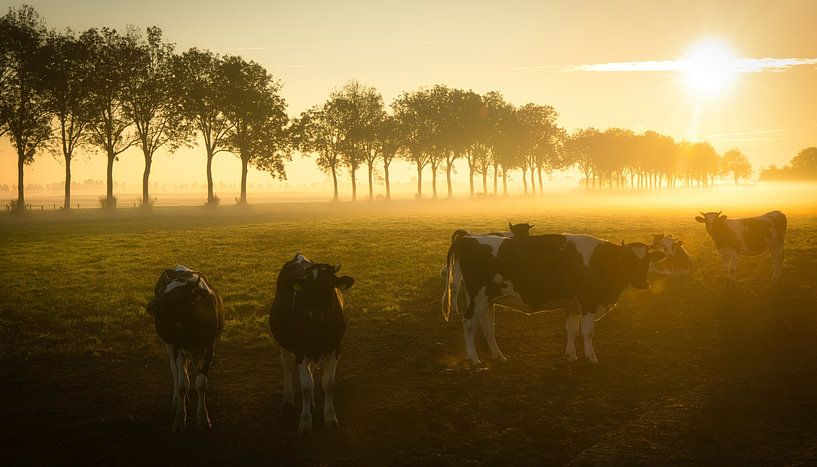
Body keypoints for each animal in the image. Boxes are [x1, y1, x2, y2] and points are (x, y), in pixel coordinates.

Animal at [146, 265, 225, 432]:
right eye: (163, 290)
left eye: (179, 294)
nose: (151, 305)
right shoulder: (178, 346)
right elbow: (183, 384)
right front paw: (180, 419)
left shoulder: (209, 347)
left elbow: (201, 383)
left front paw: (203, 418)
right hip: (169, 345)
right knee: (175, 372)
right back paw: (177, 401)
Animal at [270, 252, 354, 434]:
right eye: (306, 286)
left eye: (330, 285)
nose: (313, 313)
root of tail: (299, 256)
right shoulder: (301, 350)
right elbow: (307, 386)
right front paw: (305, 421)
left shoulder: (335, 348)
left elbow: (328, 383)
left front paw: (330, 418)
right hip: (285, 343)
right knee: (287, 366)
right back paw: (288, 398)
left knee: (312, 370)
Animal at [443, 234, 664, 365]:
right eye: (628, 261)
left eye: (646, 261)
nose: (644, 284)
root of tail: (469, 237)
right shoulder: (589, 303)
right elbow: (587, 332)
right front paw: (591, 357)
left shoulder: (574, 305)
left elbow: (571, 329)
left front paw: (571, 355)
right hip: (478, 297)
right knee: (469, 323)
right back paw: (474, 359)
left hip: (487, 300)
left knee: (488, 327)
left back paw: (498, 355)